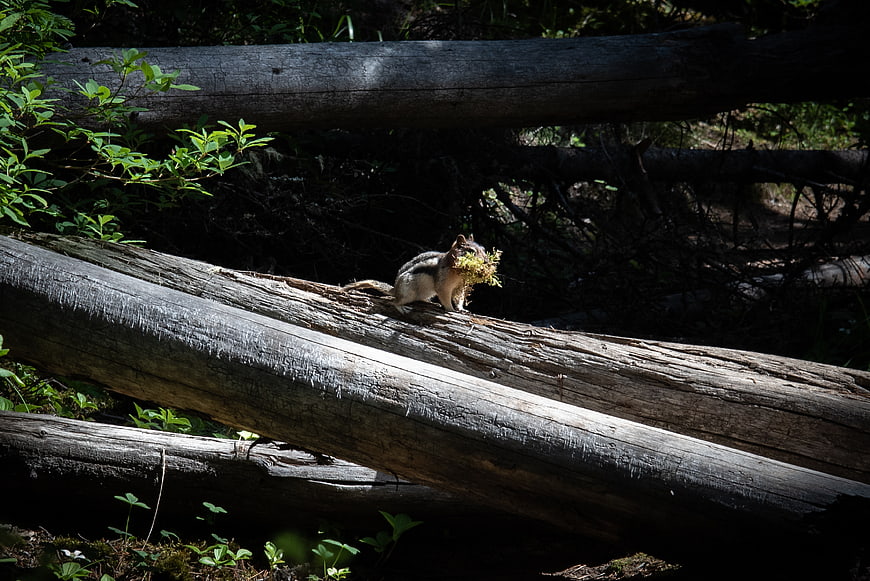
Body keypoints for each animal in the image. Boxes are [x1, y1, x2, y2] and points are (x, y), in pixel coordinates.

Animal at [343, 234, 488, 314]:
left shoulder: (460, 286)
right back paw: (402, 308)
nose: (487, 261)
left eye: (483, 249)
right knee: (394, 302)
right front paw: (450, 309)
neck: (457, 271)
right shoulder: (444, 285)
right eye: (471, 251)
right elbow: (445, 296)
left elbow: (459, 297)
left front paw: (461, 309)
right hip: (408, 292)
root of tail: (395, 290)